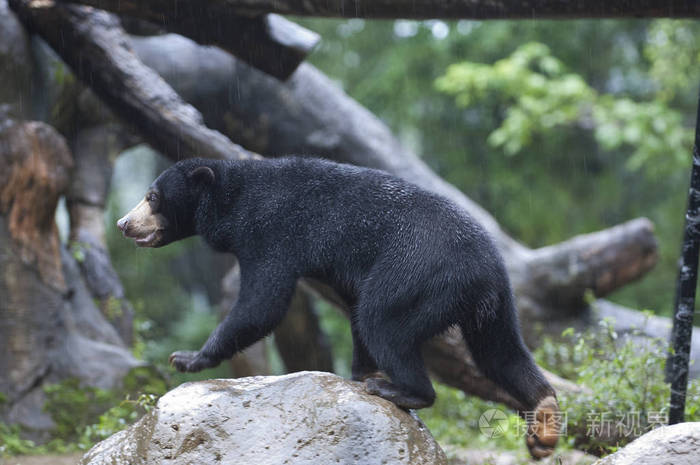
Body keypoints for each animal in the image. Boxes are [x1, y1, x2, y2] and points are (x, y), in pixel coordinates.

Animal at [117, 157, 560, 456]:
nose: (123, 224)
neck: (234, 198)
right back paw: (543, 420)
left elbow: (263, 301)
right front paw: (359, 372)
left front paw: (187, 358)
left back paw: (400, 390)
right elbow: (347, 305)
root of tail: (485, 268)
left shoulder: (270, 232)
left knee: (382, 319)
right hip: (493, 304)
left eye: (152, 197)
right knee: (499, 352)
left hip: (420, 271)